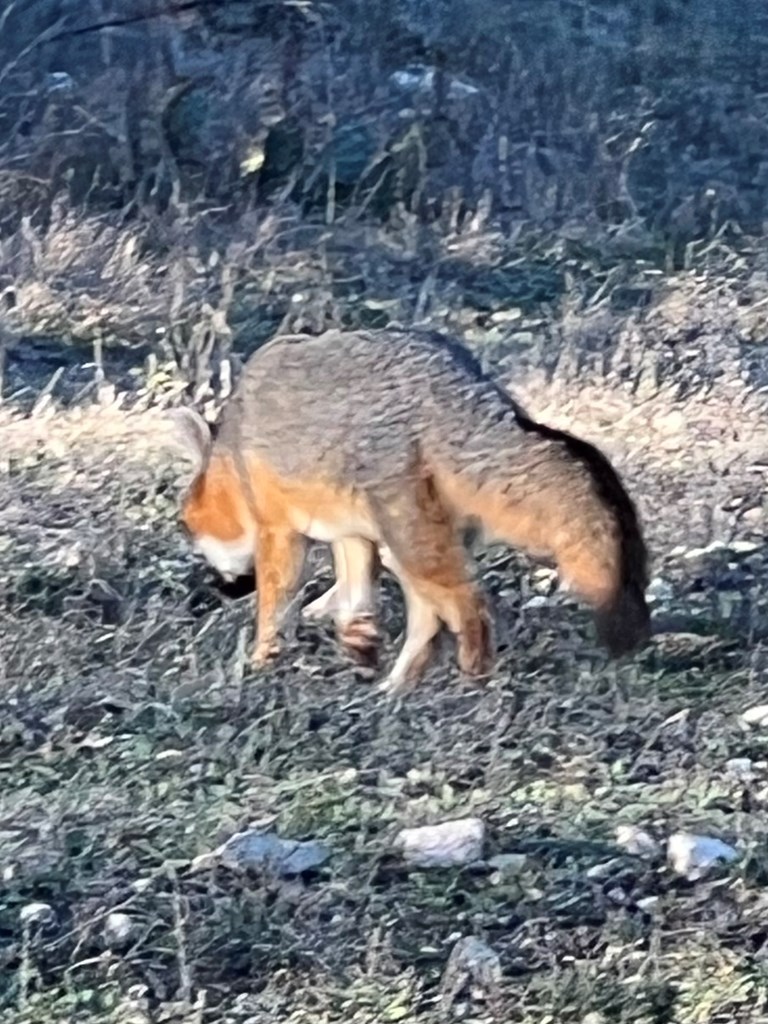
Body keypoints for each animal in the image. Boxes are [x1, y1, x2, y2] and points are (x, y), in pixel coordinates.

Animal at [173, 327, 651, 696]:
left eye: (188, 529)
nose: (218, 589)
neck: (235, 448)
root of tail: (461, 384)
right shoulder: (351, 535)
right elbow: (353, 600)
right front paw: (357, 643)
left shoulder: (281, 532)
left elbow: (275, 608)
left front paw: (261, 662)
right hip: (402, 545)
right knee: (431, 623)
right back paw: (396, 689)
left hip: (408, 544)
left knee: (468, 605)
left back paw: (470, 684)